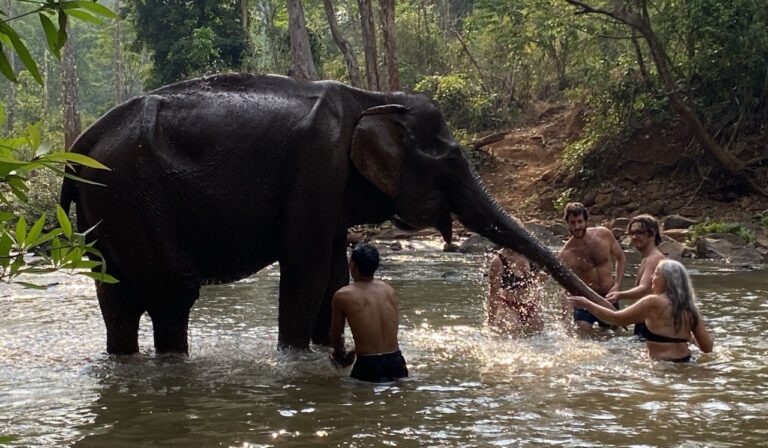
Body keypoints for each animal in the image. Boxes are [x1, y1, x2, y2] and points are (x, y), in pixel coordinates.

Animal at [60, 72, 604, 356]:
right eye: (450, 162)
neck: (373, 96)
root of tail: (79, 146)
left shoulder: (331, 189)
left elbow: (335, 274)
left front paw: (326, 351)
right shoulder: (316, 167)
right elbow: (307, 268)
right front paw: (296, 359)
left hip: (107, 211)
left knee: (117, 299)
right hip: (132, 199)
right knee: (172, 295)